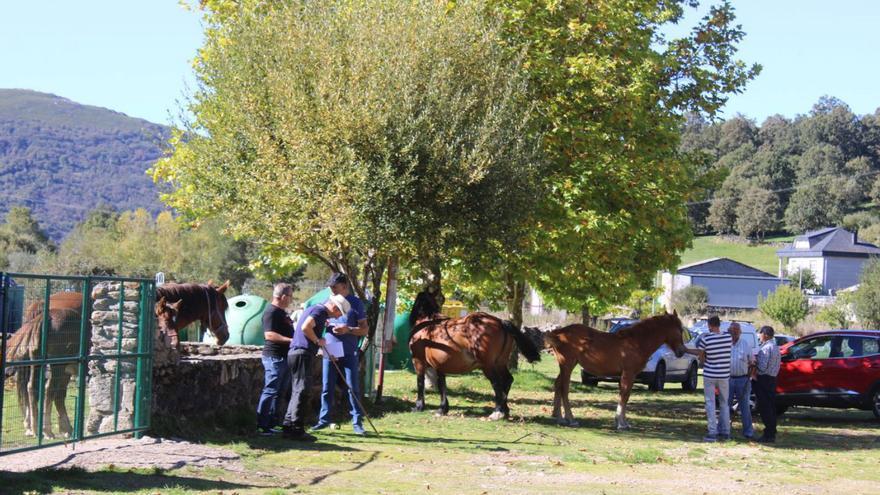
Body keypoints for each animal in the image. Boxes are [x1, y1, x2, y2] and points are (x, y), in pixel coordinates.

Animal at [408, 290, 544, 422]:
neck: (427, 323)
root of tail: (500, 322)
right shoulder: (439, 364)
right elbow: (442, 385)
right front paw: (442, 409)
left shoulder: (418, 360)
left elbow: (420, 381)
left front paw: (419, 406)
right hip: (500, 363)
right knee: (507, 380)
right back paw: (504, 410)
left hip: (487, 366)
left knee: (497, 383)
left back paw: (496, 413)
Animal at [540, 314, 692, 430]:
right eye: (679, 330)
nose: (681, 351)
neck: (636, 342)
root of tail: (558, 333)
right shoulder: (628, 374)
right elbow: (624, 396)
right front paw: (621, 423)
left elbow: (625, 396)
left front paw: (622, 421)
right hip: (567, 365)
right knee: (564, 388)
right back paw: (571, 419)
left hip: (565, 366)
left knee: (558, 385)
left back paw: (559, 417)